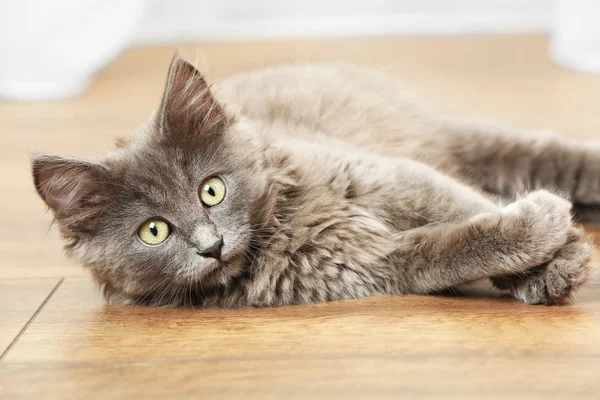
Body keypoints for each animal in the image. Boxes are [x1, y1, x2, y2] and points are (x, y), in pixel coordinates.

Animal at [30, 54, 592, 308]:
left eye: (212, 189)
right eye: (154, 231)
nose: (211, 246)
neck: (279, 227)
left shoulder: (386, 175)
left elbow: (462, 205)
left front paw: (560, 254)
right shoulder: (372, 265)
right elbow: (447, 248)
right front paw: (542, 242)